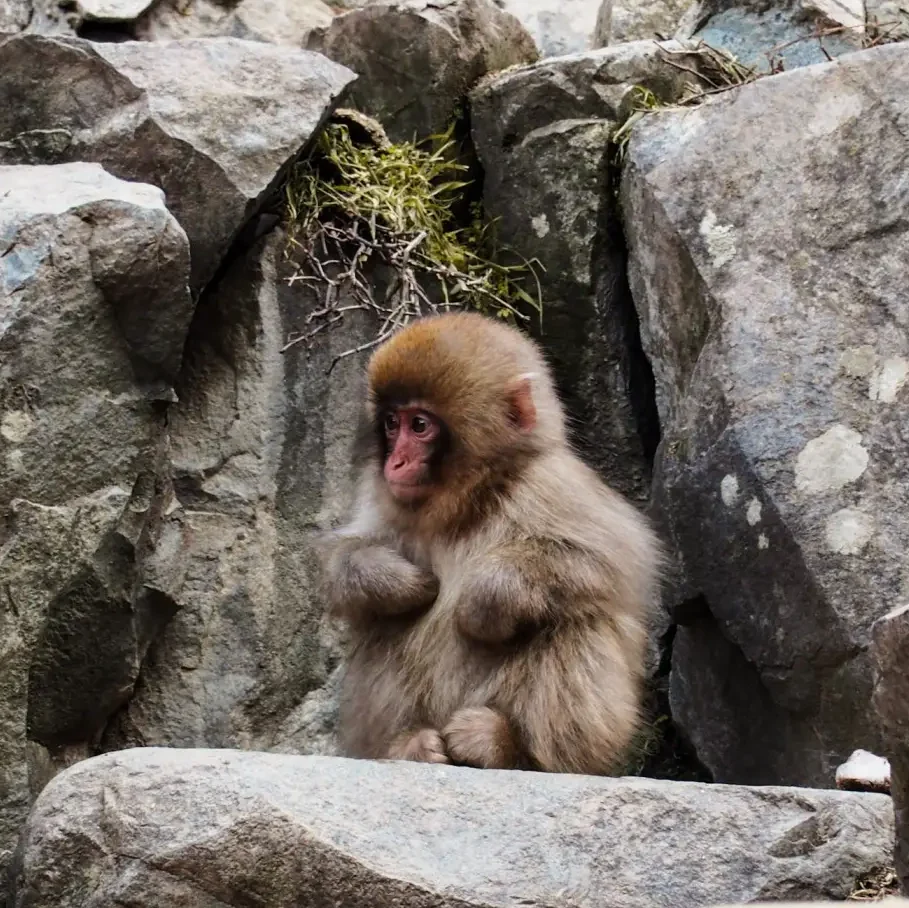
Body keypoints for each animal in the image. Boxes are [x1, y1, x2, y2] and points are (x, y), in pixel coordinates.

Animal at [320, 312, 660, 772]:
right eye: (392, 423)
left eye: (420, 425)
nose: (396, 462)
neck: (469, 499)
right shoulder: (382, 494)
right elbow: (343, 558)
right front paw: (394, 580)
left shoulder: (550, 481)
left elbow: (616, 558)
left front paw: (485, 602)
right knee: (380, 620)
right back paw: (407, 744)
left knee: (579, 617)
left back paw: (508, 747)